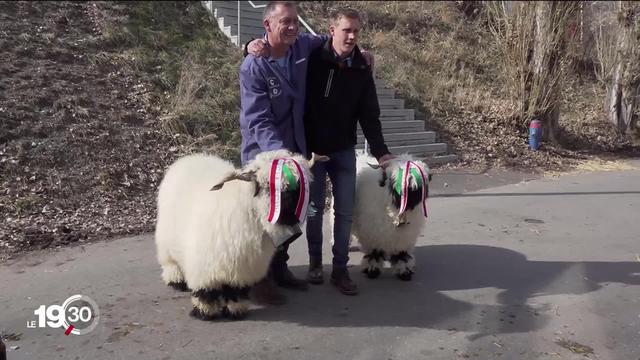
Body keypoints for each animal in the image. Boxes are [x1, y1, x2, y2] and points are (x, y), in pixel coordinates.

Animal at [155, 149, 320, 320]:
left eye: (301, 186)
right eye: (268, 186)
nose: (292, 216)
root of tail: (189, 157)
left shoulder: (243, 266)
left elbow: (235, 291)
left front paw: (235, 310)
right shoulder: (204, 265)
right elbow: (207, 291)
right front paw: (205, 312)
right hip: (165, 235)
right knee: (168, 260)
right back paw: (175, 280)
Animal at [348, 152, 432, 282]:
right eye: (396, 179)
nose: (411, 190)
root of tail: (362, 155)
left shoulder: (404, 236)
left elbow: (401, 254)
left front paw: (404, 271)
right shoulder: (372, 234)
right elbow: (374, 252)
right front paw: (372, 270)